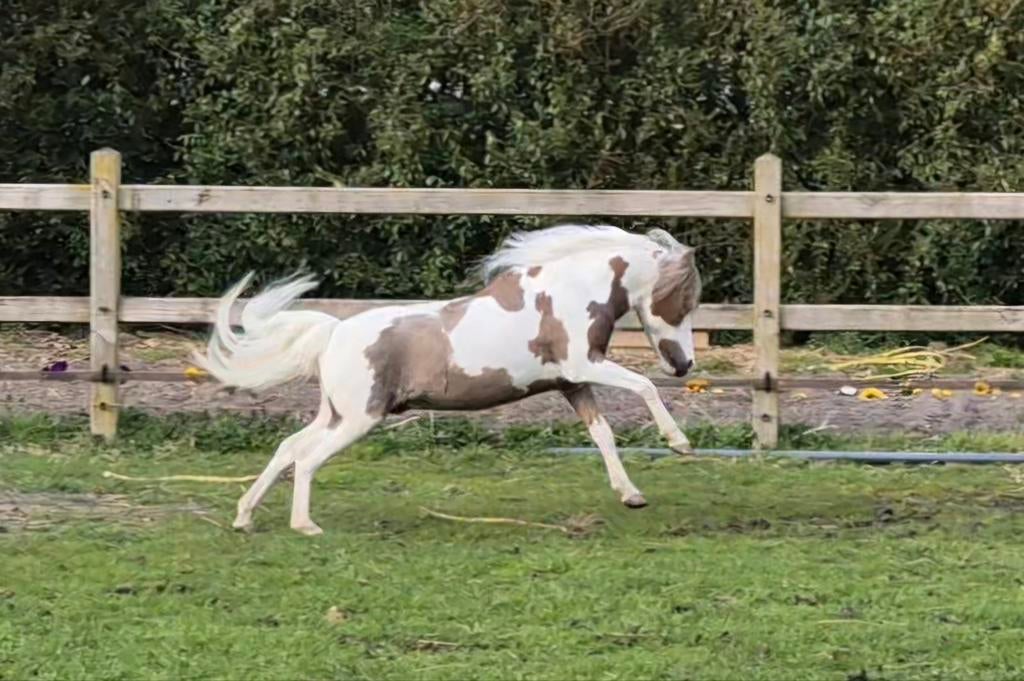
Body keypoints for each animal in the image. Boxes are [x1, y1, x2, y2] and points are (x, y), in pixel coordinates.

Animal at [196, 224, 702, 535]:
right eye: (685, 301)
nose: (685, 365)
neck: (569, 294)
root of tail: (333, 333)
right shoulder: (584, 366)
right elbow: (643, 387)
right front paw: (680, 444)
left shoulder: (572, 384)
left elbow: (603, 436)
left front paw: (631, 495)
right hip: (361, 418)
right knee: (306, 458)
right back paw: (305, 526)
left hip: (337, 414)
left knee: (288, 447)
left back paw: (244, 517)